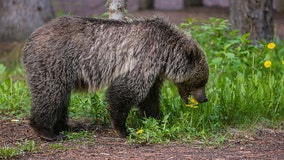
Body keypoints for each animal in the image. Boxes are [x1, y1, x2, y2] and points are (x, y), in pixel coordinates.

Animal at [22, 16, 209, 141]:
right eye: (201, 81)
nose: (204, 99)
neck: (165, 54)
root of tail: (30, 38)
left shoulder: (153, 72)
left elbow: (149, 98)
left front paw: (156, 117)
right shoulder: (142, 59)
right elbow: (125, 92)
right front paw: (122, 129)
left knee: (61, 99)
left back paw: (65, 127)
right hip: (54, 62)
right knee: (50, 94)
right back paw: (47, 132)